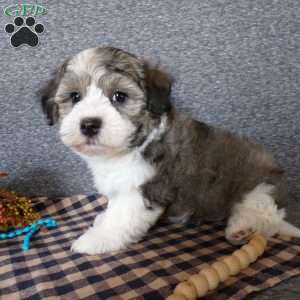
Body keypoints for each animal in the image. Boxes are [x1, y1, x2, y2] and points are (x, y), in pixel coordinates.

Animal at [40, 46, 300, 253]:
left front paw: (96, 239)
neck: (129, 148)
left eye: (119, 96)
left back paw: (242, 228)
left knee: (263, 213)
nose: (89, 124)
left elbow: (121, 218)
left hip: (260, 184)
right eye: (75, 96)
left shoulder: (144, 189)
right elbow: (113, 208)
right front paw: (103, 220)